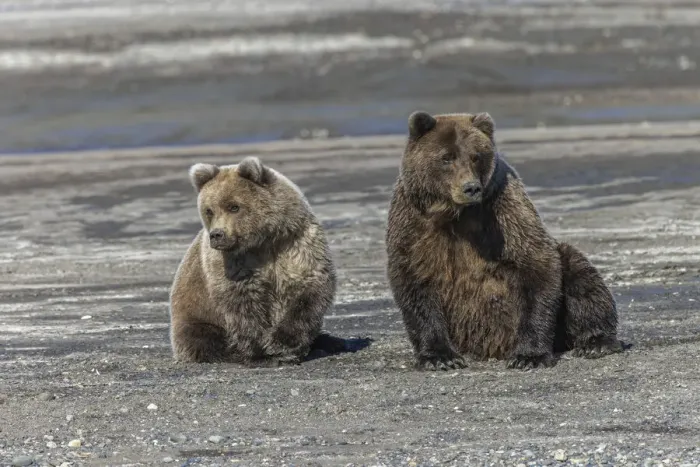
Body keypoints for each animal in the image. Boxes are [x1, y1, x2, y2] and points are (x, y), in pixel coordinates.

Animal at [169, 156, 337, 366]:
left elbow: (309, 289)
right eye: (209, 210)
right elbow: (243, 307)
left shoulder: (296, 244)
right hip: (194, 313)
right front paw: (263, 353)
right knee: (203, 337)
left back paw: (326, 342)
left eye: (234, 206)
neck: (264, 242)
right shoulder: (233, 263)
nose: (217, 235)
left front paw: (281, 343)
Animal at [385, 110, 623, 371]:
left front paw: (529, 356)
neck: (454, 214)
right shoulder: (413, 223)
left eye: (475, 157)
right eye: (446, 157)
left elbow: (536, 263)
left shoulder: (502, 212)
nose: (471, 188)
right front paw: (439, 357)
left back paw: (596, 342)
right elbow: (416, 278)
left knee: (580, 275)